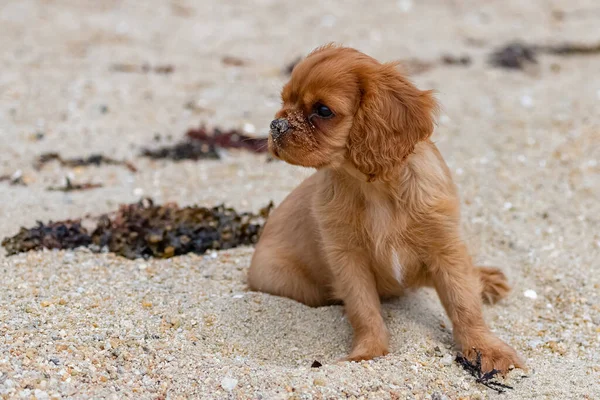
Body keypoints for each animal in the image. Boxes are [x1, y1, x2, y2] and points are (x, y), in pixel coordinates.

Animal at [246, 43, 524, 372]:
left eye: (323, 111)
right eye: (283, 101)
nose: (276, 125)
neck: (374, 189)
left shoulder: (445, 247)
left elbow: (463, 300)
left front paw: (484, 348)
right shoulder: (347, 258)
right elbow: (363, 308)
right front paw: (368, 353)